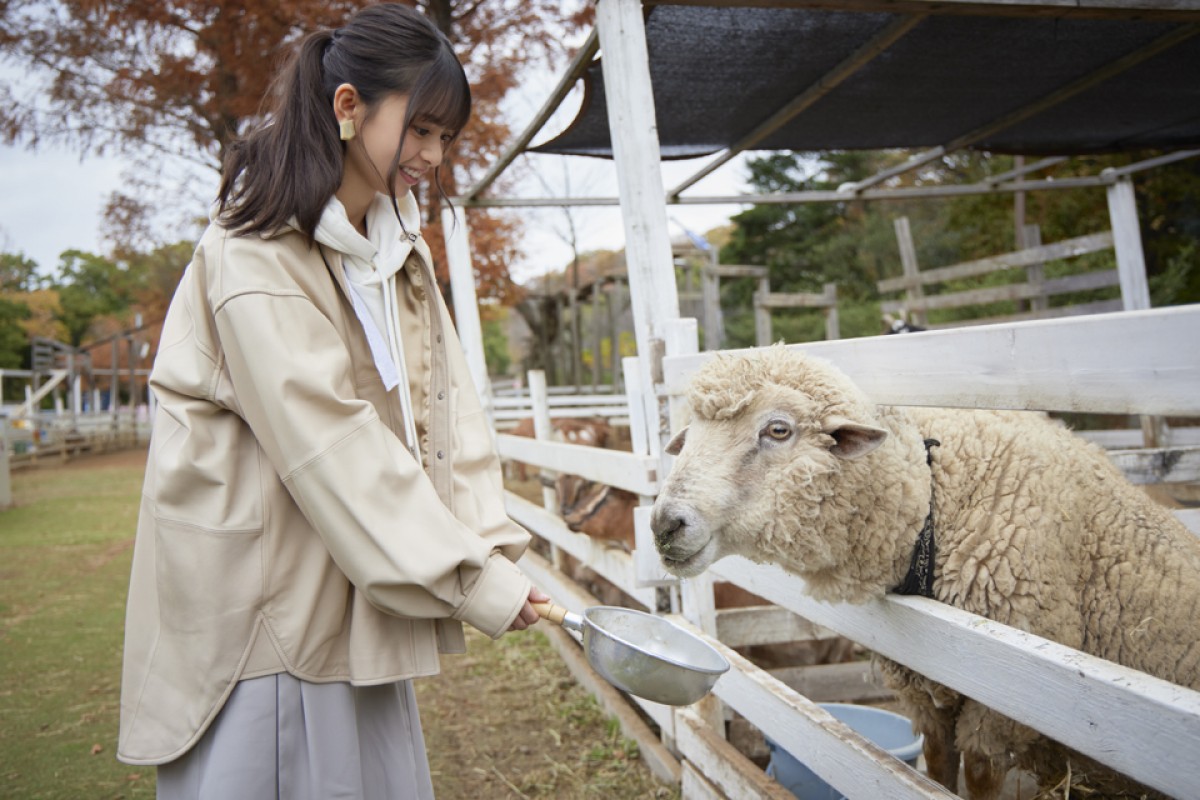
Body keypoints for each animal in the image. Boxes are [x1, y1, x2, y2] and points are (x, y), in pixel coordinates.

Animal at [652, 345, 1195, 800]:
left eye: (778, 429)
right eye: (688, 439)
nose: (664, 524)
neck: (934, 506)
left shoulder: (999, 707)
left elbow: (980, 780)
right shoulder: (925, 695)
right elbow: (935, 769)